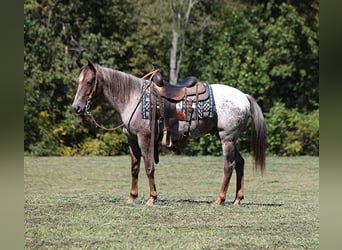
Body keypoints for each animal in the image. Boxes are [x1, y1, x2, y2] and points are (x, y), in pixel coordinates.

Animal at [71, 60, 266, 205]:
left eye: (89, 82)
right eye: (77, 82)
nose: (77, 107)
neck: (133, 98)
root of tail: (244, 96)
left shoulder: (144, 138)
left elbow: (149, 166)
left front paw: (152, 198)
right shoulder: (132, 139)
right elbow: (135, 168)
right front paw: (132, 197)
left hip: (227, 138)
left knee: (229, 166)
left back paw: (219, 199)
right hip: (229, 138)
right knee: (240, 163)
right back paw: (237, 199)